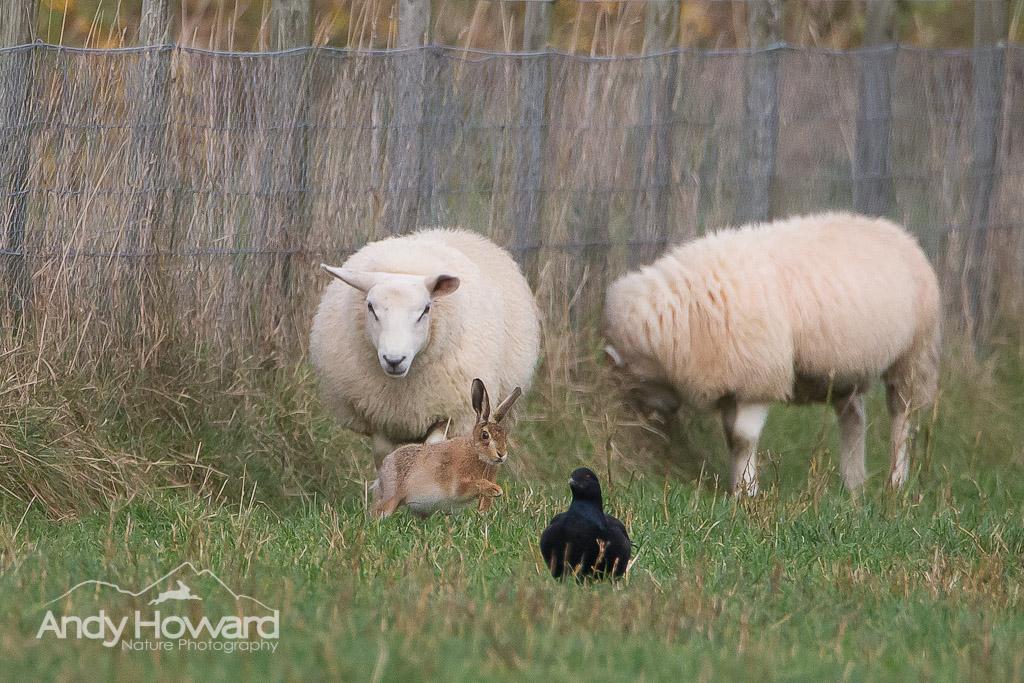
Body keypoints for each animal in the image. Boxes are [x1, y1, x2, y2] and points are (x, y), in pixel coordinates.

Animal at [372, 378, 522, 519]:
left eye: (505, 436)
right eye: (485, 435)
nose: (501, 454)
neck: (476, 452)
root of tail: (386, 464)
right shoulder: (459, 486)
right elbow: (475, 484)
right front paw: (496, 490)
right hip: (391, 496)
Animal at [604, 212, 940, 494]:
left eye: (635, 378)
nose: (654, 414)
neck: (689, 313)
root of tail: (899, 232)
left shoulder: (757, 378)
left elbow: (743, 438)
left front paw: (747, 492)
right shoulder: (733, 381)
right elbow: (731, 438)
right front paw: (737, 487)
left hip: (913, 356)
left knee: (903, 419)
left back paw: (895, 484)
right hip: (845, 368)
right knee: (853, 417)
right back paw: (853, 485)